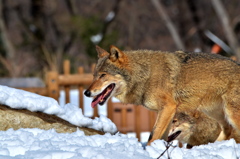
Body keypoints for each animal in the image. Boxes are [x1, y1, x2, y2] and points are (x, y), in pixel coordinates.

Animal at [84, 45, 240, 145]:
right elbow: (162, 137)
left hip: (231, 113)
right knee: (228, 130)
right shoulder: (167, 113)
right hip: (216, 113)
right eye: (94, 76)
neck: (145, 75)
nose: (86, 92)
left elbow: (152, 136)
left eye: (103, 75)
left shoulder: (168, 108)